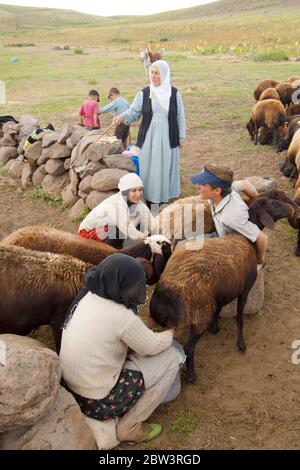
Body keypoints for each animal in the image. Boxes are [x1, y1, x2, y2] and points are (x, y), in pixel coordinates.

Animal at [149, 194, 296, 382]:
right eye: (273, 203)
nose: (292, 209)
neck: (244, 238)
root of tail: (163, 295)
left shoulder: (222, 291)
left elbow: (219, 308)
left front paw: (215, 328)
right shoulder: (244, 290)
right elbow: (239, 318)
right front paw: (241, 344)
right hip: (199, 316)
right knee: (188, 348)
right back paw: (192, 375)